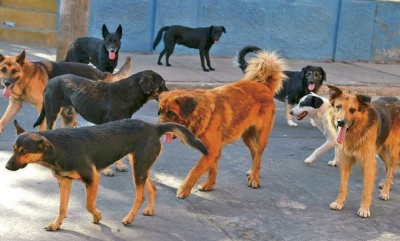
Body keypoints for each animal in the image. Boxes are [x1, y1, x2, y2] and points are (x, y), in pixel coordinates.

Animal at [0, 50, 132, 134]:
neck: (27, 77)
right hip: (66, 109)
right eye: (3, 70)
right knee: (70, 123)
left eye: (14, 71)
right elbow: (2, 121)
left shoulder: (42, 107)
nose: (6, 83)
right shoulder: (15, 103)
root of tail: (102, 74)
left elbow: (42, 127)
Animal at [4, 119, 208, 231]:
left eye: (24, 152)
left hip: (139, 168)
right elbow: (62, 208)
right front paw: (56, 224)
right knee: (153, 188)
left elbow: (88, 205)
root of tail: (153, 127)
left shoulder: (92, 178)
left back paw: (129, 218)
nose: (6, 166)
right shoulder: (64, 181)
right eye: (14, 149)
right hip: (140, 167)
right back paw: (150, 209)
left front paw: (98, 216)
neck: (58, 149)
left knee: (140, 195)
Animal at [158, 50, 286, 199]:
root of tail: (264, 86)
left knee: (258, 154)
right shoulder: (212, 150)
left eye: (171, 113)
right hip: (246, 136)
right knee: (255, 153)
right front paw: (209, 184)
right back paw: (253, 171)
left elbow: (195, 170)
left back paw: (254, 178)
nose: (158, 128)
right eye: (160, 112)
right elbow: (212, 168)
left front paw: (184, 189)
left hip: (262, 135)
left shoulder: (212, 150)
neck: (201, 113)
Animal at [326, 84, 400, 218]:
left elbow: (366, 190)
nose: (341, 122)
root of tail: (397, 100)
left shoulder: (368, 163)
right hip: (382, 152)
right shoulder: (345, 161)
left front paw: (364, 209)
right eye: (338, 107)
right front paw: (339, 202)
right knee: (388, 171)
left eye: (352, 110)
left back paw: (385, 191)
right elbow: (342, 186)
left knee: (391, 170)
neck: (356, 132)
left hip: (392, 152)